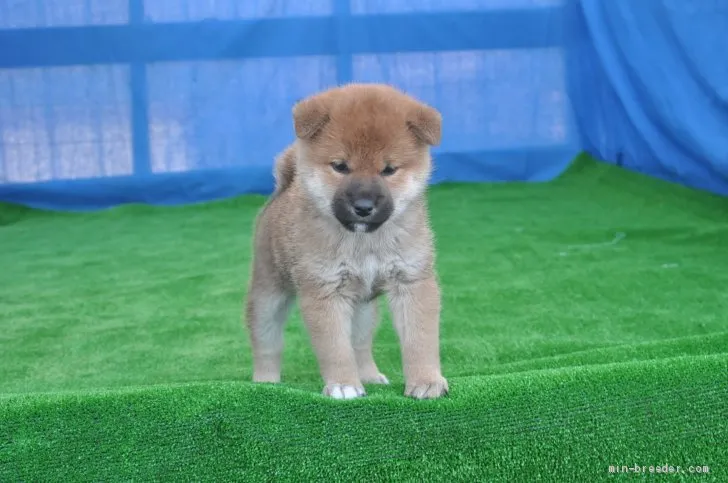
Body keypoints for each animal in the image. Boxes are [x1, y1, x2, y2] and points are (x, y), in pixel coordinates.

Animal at [246, 83, 450, 400]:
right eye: (340, 166)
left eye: (388, 169)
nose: (364, 206)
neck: (363, 242)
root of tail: (283, 189)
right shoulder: (324, 291)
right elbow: (335, 349)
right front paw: (343, 384)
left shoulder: (412, 281)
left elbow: (420, 340)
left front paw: (426, 381)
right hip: (269, 295)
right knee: (267, 344)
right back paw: (265, 383)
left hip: (364, 309)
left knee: (360, 344)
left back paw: (369, 375)